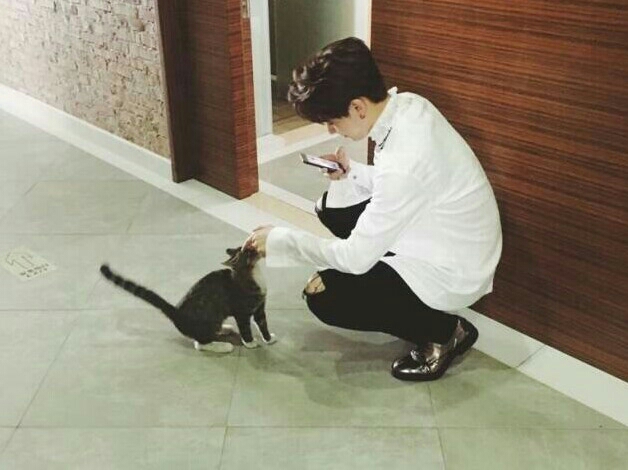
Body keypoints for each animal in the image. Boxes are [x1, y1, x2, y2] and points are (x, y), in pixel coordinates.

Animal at [99, 246, 275, 353]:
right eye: (248, 251)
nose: (254, 246)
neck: (251, 275)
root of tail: (176, 312)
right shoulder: (242, 311)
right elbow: (245, 328)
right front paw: (250, 343)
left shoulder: (260, 307)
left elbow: (263, 323)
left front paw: (269, 339)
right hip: (208, 319)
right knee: (200, 344)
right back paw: (223, 346)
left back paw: (224, 329)